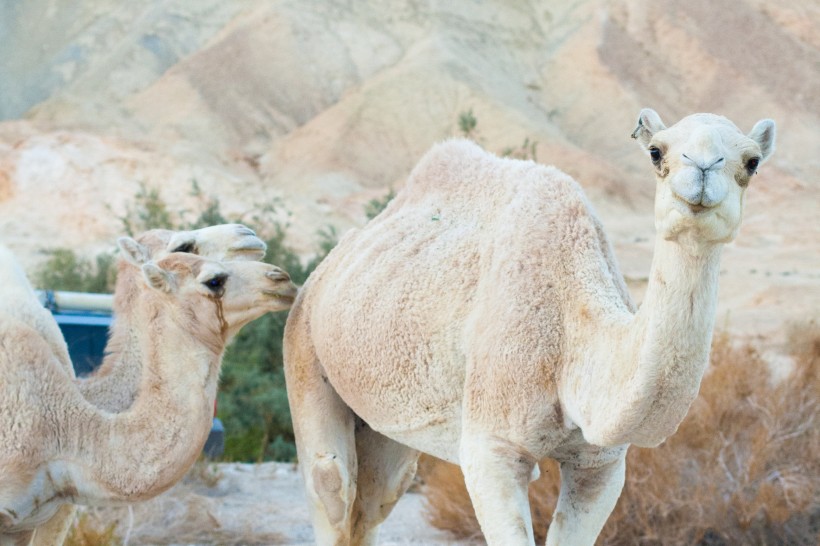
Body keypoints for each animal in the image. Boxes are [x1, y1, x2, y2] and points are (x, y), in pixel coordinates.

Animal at [282, 108, 776, 540]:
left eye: (752, 161)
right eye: (657, 152)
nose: (703, 169)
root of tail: (317, 277)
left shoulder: (600, 464)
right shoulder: (492, 448)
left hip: (388, 416)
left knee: (377, 499)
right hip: (302, 345)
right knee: (331, 488)